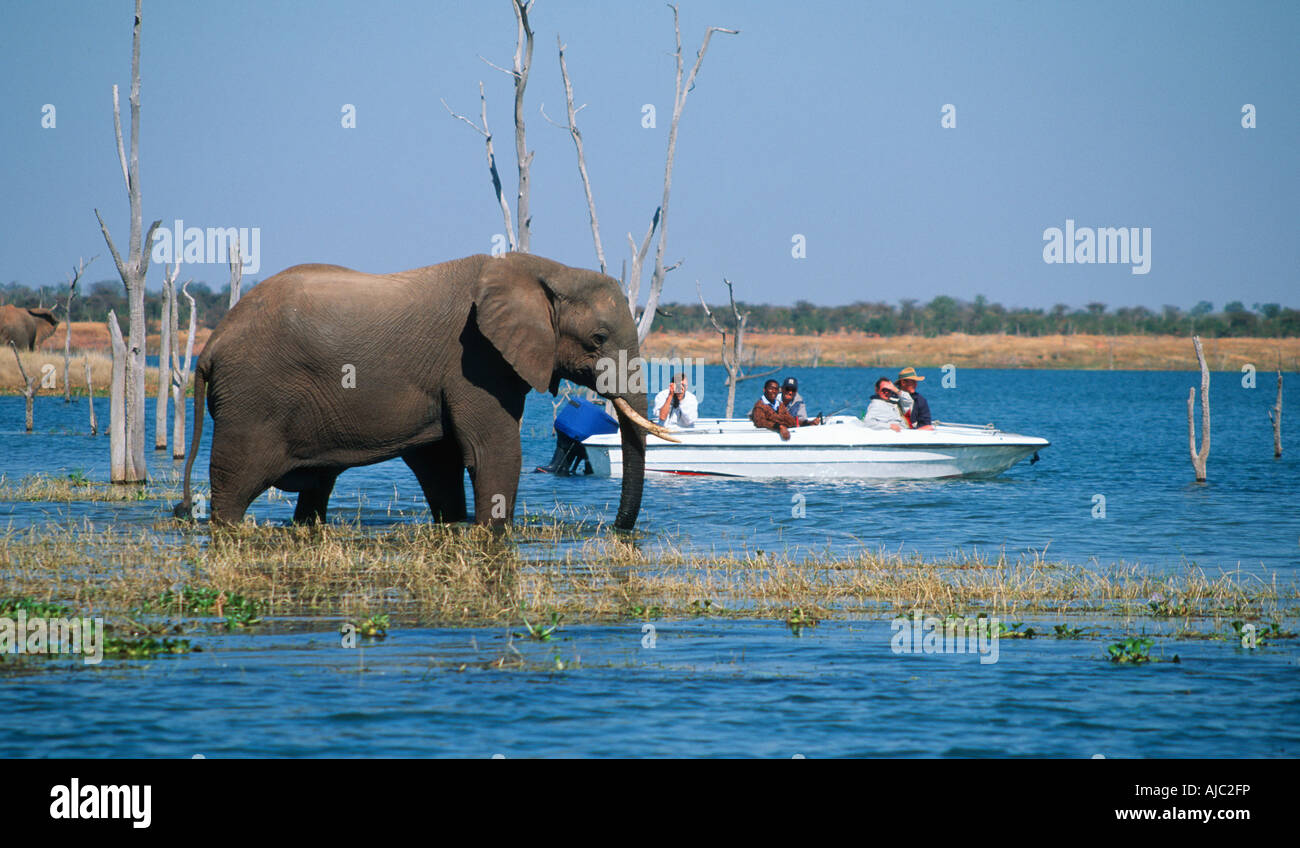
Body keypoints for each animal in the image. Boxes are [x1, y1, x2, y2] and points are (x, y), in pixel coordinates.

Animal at [171, 253, 670, 530]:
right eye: (598, 339)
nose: (617, 530)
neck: (543, 269)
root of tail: (211, 345)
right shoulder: (475, 359)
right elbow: (493, 452)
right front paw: (493, 535)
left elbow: (440, 462)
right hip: (251, 403)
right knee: (234, 488)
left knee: (316, 490)